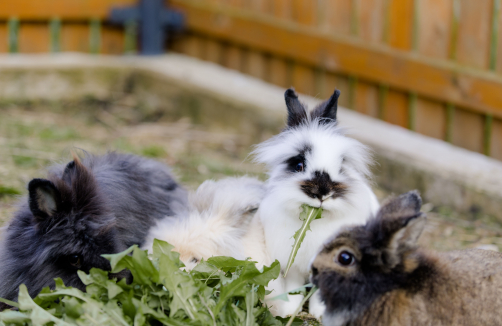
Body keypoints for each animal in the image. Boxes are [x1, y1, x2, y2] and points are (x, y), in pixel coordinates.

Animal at [253, 88, 378, 316]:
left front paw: (320, 312)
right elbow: (294, 285)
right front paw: (290, 309)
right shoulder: (292, 263)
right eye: (299, 165)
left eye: (341, 166)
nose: (322, 192)